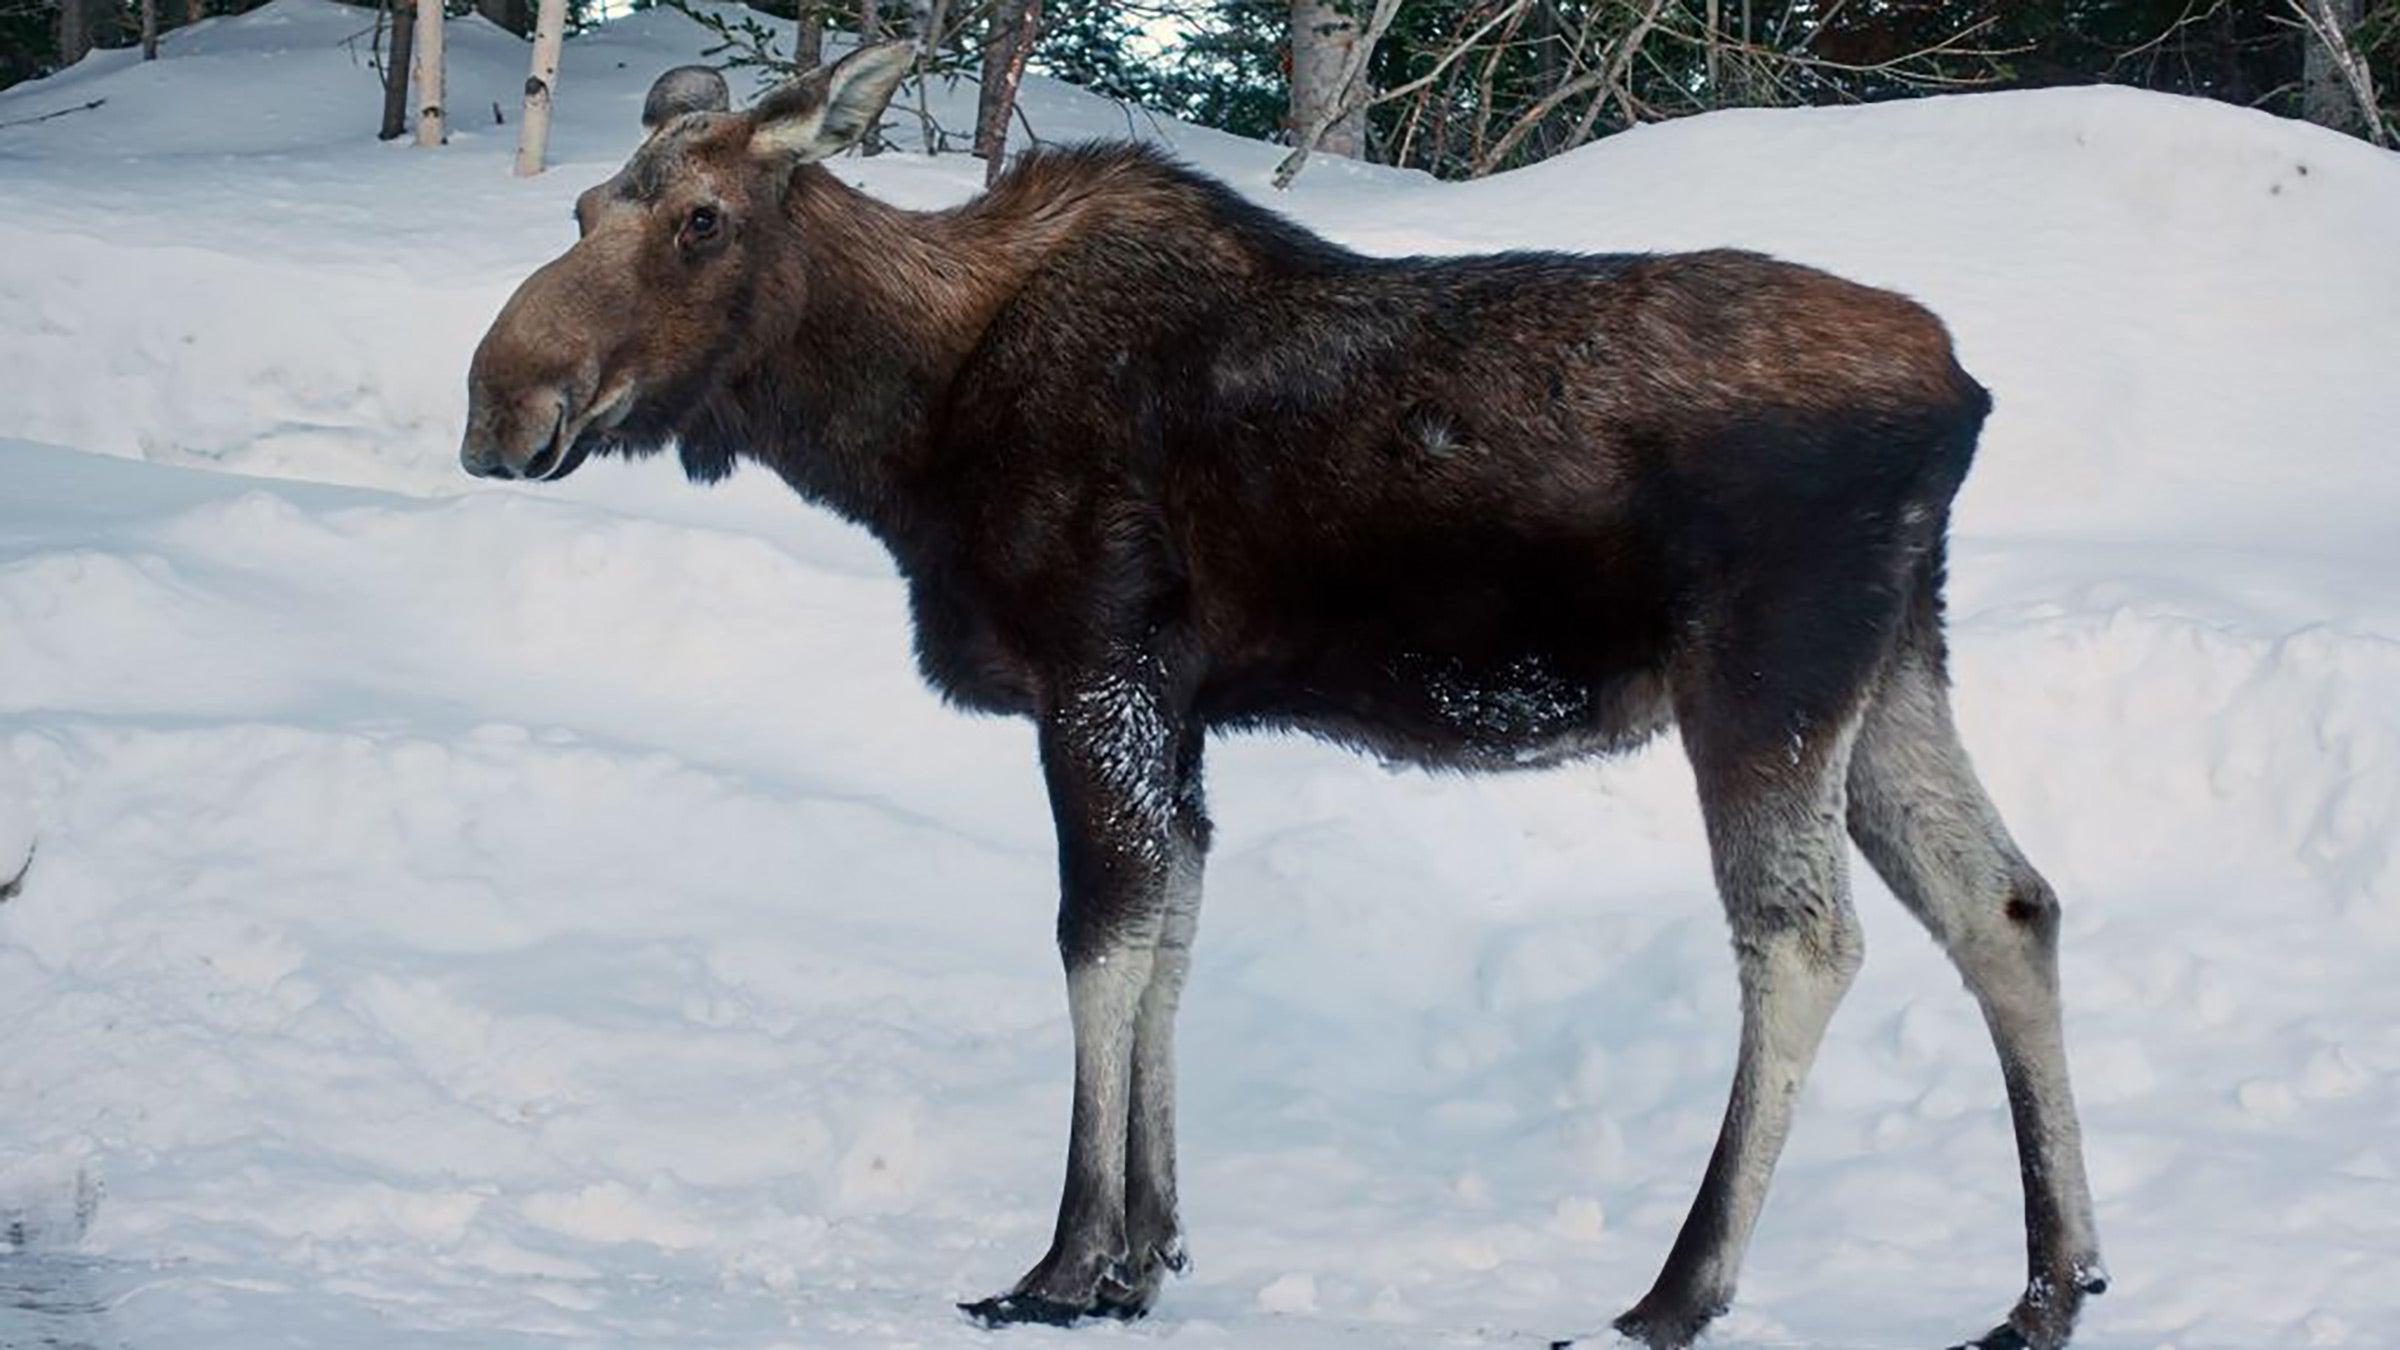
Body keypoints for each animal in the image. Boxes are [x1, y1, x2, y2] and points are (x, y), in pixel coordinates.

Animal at [459, 42, 2108, 1350]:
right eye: (583, 209)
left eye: (702, 218)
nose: (501, 408)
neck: (903, 429)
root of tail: (1962, 393)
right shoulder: (1176, 705)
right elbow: (1175, 930)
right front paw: (1147, 1253)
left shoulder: (1099, 663)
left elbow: (1100, 938)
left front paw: (1062, 1261)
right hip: (1894, 664)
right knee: (2005, 902)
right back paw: (2049, 1286)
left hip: (1770, 670)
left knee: (1806, 941)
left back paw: (1678, 1293)